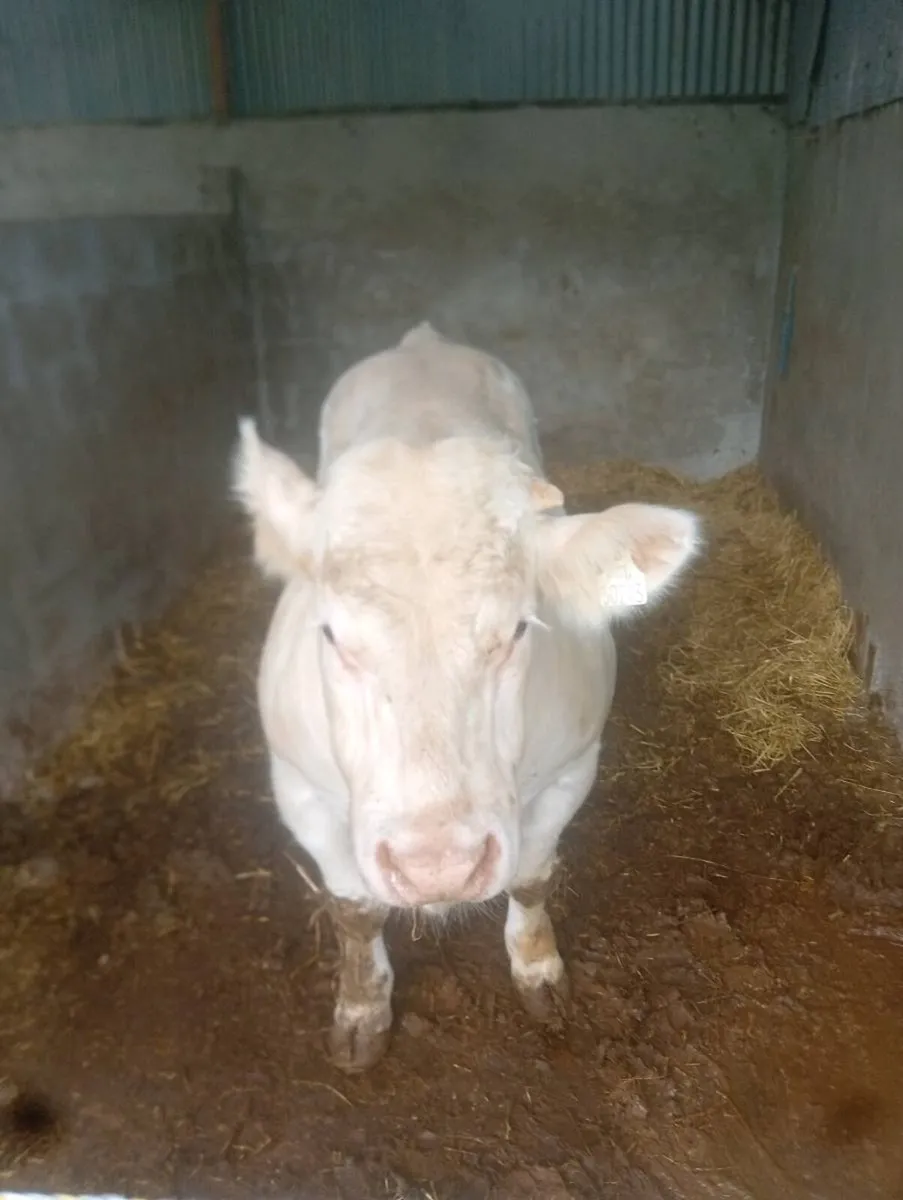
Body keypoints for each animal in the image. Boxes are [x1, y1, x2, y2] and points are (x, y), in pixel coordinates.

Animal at [233, 322, 700, 1073]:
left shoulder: (572, 768)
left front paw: (538, 969)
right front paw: (361, 1010)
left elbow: (533, 879)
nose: (437, 866)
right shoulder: (297, 786)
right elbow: (353, 909)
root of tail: (421, 341)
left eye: (518, 629)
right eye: (332, 634)